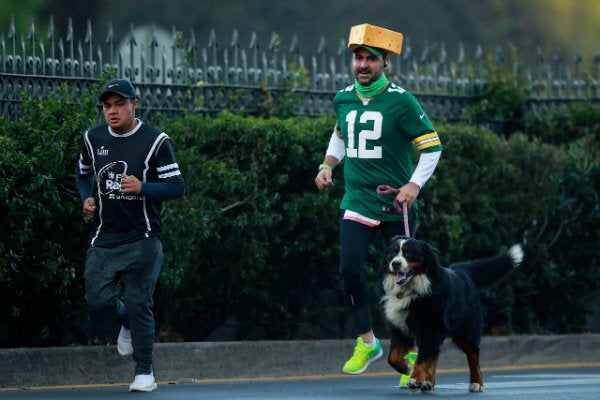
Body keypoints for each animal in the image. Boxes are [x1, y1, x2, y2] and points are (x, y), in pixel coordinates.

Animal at [382, 236, 524, 392]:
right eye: (393, 253)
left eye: (409, 253)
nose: (395, 264)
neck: (412, 289)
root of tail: (462, 270)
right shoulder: (399, 329)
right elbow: (393, 357)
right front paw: (406, 368)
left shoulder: (429, 329)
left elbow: (423, 357)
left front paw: (415, 378)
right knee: (435, 355)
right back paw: (428, 382)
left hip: (467, 331)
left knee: (473, 357)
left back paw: (476, 383)